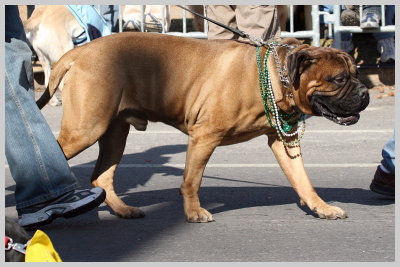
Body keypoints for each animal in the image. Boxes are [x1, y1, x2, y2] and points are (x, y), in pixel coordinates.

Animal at [36, 32, 368, 223]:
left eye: (356, 73)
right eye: (339, 79)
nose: (365, 92)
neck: (278, 75)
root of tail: (81, 50)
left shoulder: (283, 143)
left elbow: (303, 180)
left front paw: (321, 207)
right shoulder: (204, 137)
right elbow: (191, 181)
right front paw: (193, 212)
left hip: (114, 132)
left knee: (102, 176)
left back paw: (122, 210)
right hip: (85, 129)